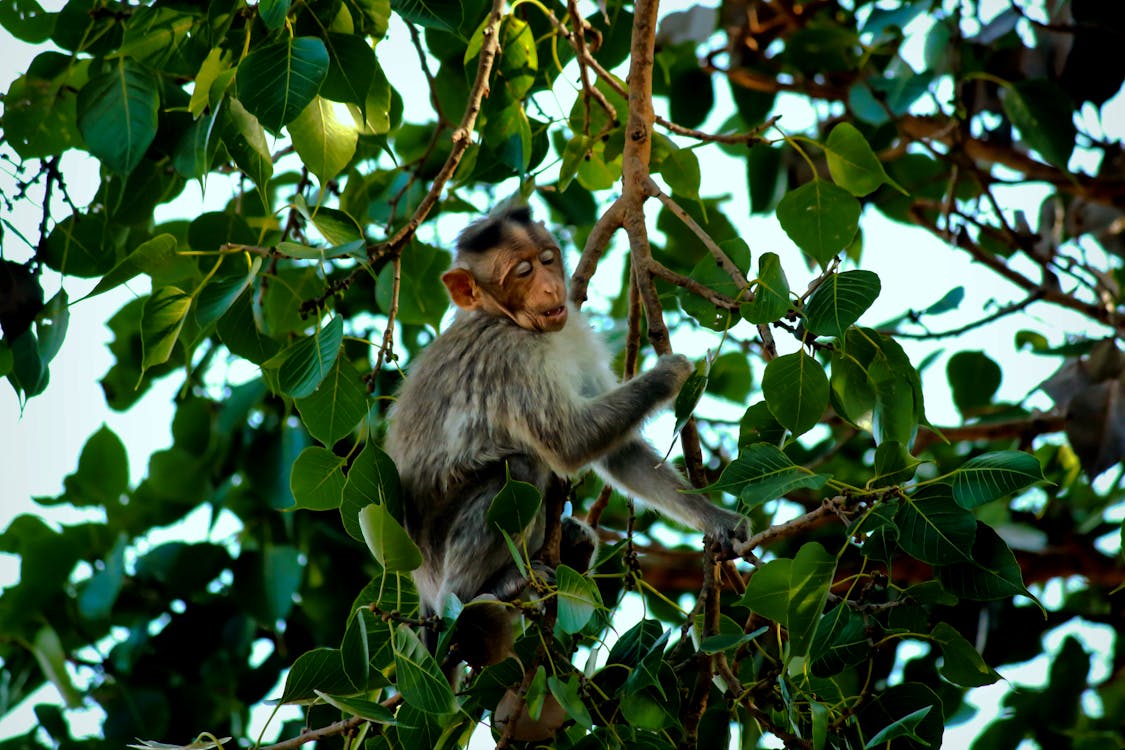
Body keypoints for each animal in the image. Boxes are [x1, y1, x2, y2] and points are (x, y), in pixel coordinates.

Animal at [384, 205, 747, 674]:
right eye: (521, 272)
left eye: (546, 259)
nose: (549, 286)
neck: (505, 319)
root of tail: (426, 598)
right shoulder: (511, 358)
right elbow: (568, 442)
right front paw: (671, 375)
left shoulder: (568, 327)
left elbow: (618, 451)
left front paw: (715, 518)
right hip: (439, 565)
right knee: (520, 467)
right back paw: (484, 593)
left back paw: (570, 548)